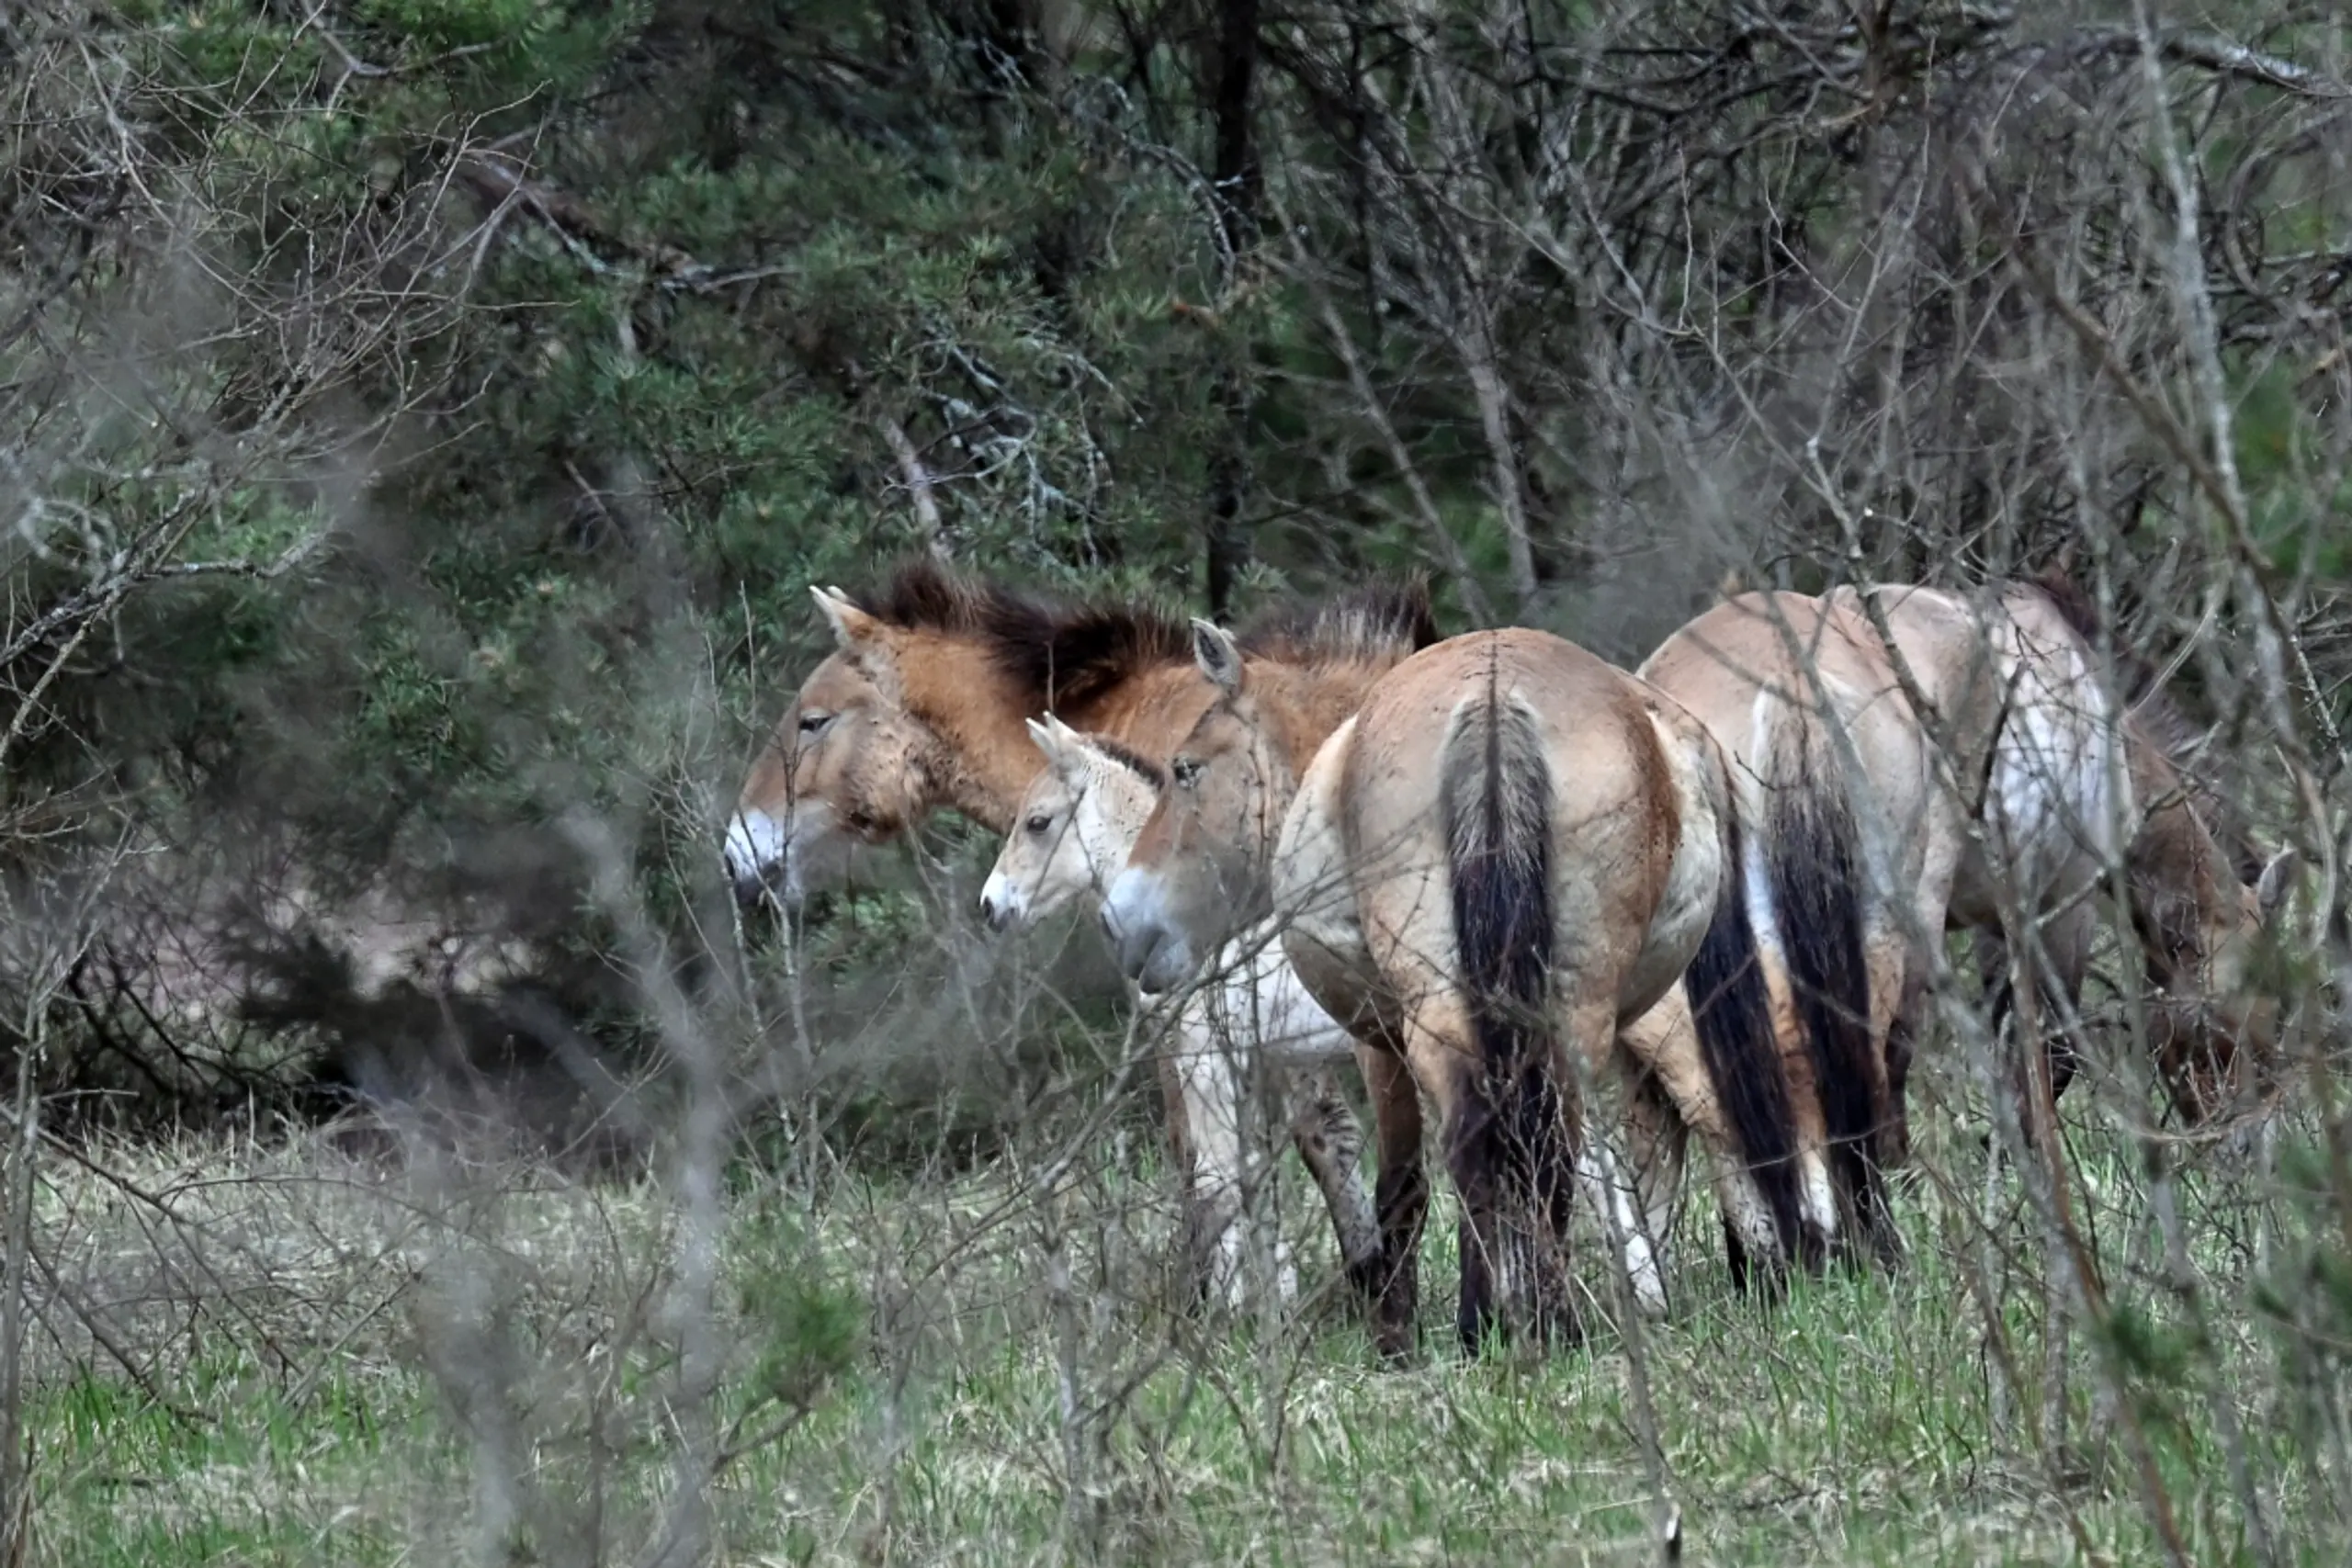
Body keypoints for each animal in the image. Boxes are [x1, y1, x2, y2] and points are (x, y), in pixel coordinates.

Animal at [1101, 618, 1873, 1356]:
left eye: (1185, 768)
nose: (1122, 918)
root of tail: (1493, 697)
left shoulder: (1378, 1042)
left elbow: (1403, 1182)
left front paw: (1397, 1333)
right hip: (1581, 1007)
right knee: (1577, 1141)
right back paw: (1579, 1316)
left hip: (1454, 1013)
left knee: (1491, 1140)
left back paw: (1490, 1325)